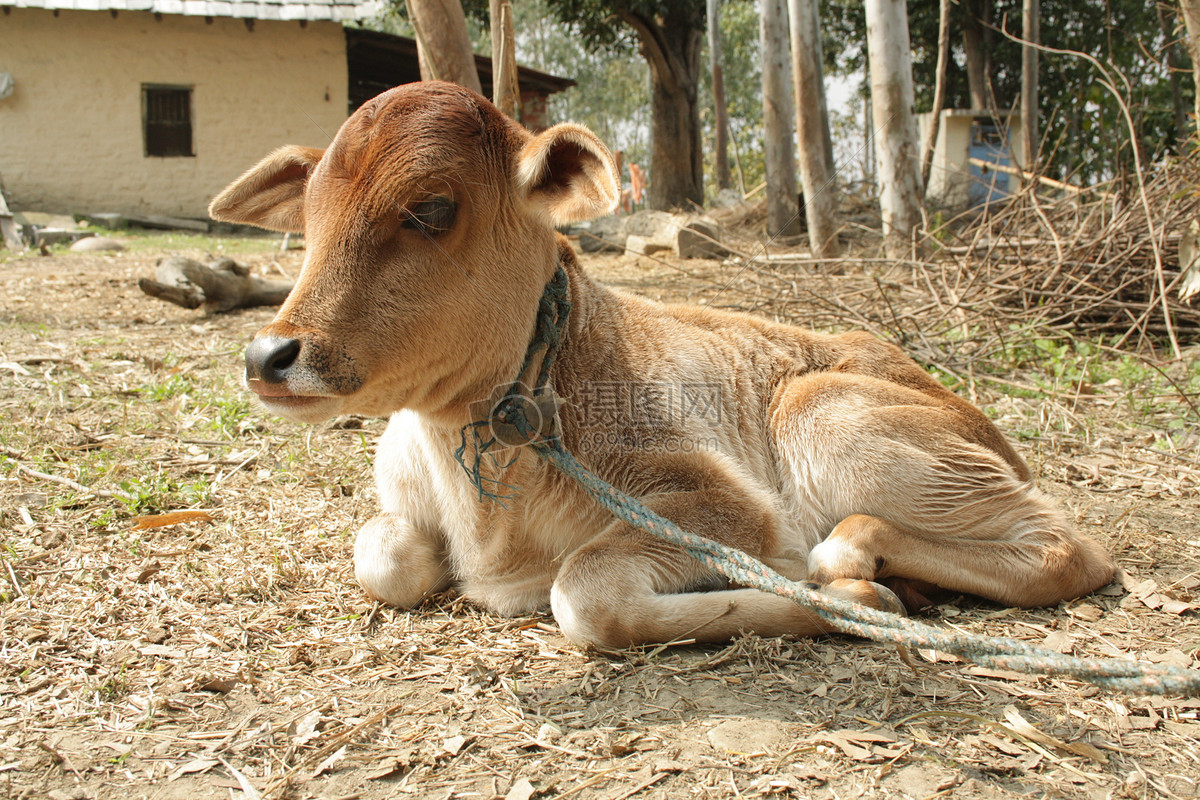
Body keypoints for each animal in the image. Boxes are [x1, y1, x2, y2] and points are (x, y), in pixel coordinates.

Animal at [208, 81, 1113, 652]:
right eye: (309, 215)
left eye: (431, 208)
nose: (269, 354)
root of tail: (987, 430)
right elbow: (385, 561)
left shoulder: (729, 511)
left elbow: (584, 598)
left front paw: (845, 602)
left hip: (833, 417)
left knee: (1070, 550)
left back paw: (857, 559)